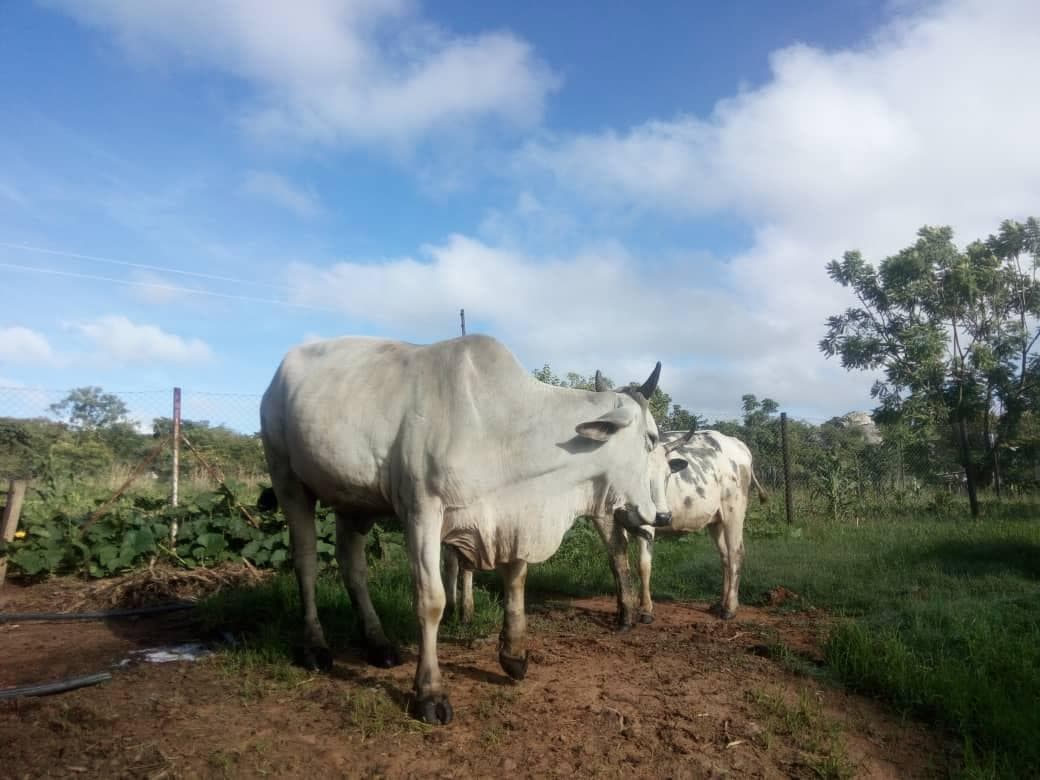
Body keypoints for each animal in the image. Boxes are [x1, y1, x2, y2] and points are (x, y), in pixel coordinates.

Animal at [259, 334, 687, 724]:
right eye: (650, 439)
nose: (659, 516)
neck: (504, 430)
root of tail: (279, 372)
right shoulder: (422, 510)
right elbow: (431, 600)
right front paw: (430, 693)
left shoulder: (511, 516)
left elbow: (515, 579)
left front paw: (513, 654)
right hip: (287, 479)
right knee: (307, 563)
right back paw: (315, 647)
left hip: (353, 501)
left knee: (353, 567)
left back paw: (378, 644)